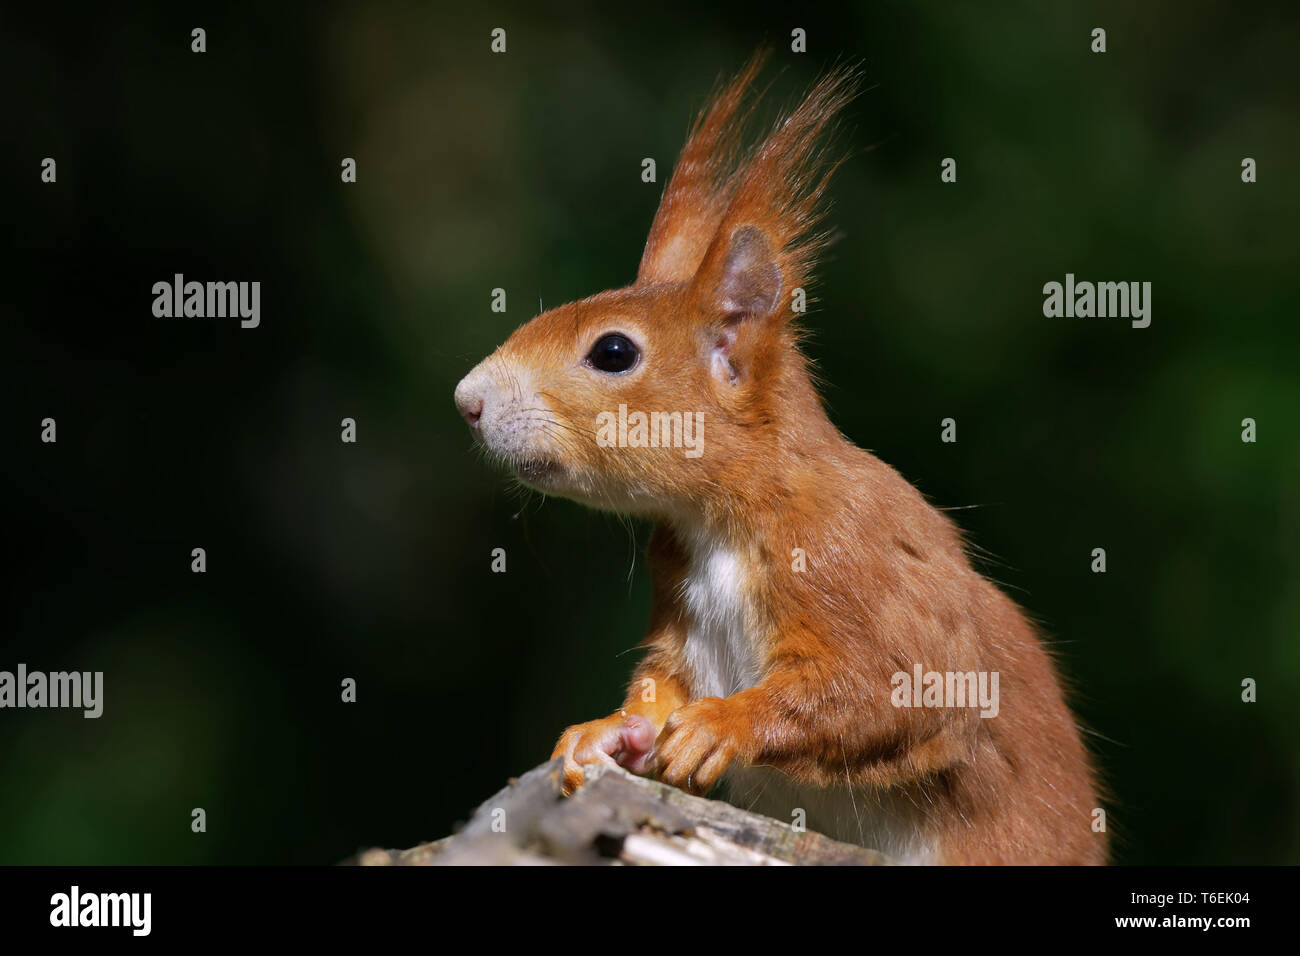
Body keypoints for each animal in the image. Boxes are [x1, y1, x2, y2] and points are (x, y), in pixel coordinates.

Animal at [454, 57, 1107, 868]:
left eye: (613, 351)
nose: (466, 400)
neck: (725, 520)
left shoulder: (852, 562)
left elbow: (886, 692)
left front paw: (721, 726)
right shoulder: (684, 609)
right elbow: (664, 684)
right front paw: (604, 733)